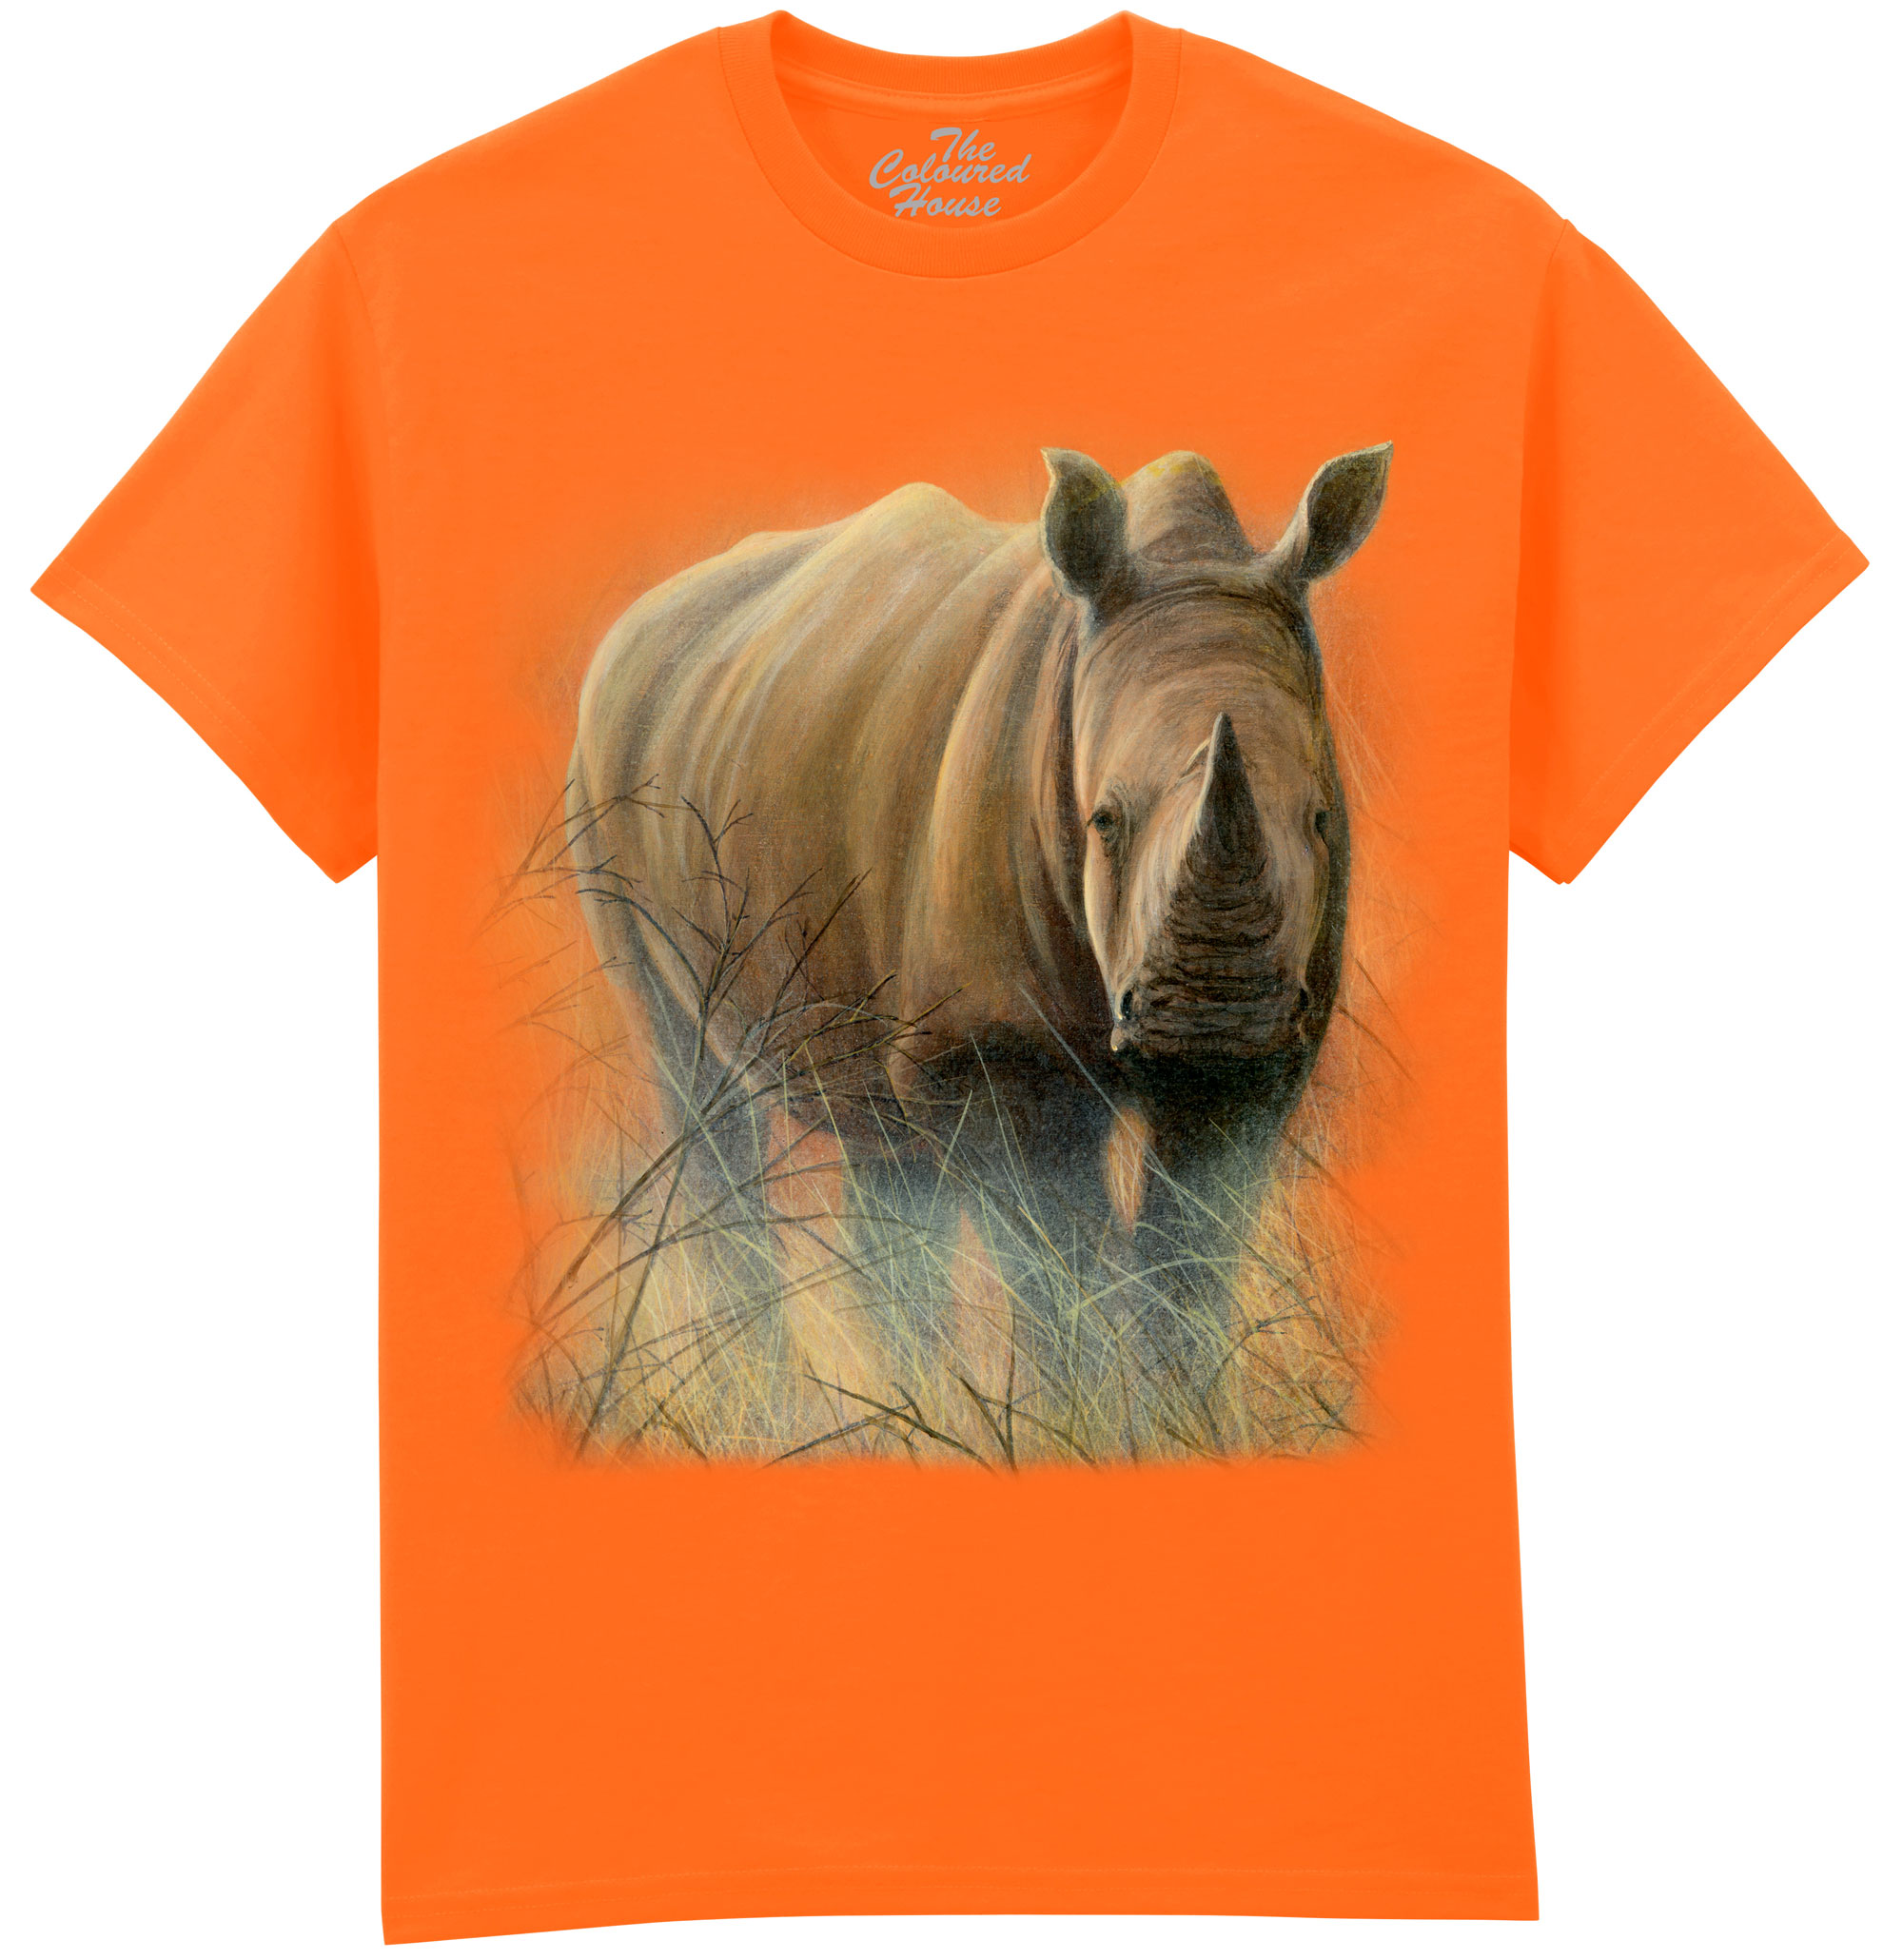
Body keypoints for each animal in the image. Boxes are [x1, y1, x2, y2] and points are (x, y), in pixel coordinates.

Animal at [568, 443, 1389, 1346]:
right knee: (686, 1071)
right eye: (1103, 821)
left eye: (1321, 819)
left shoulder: (1268, 1058)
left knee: (880, 1134)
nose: (1216, 1013)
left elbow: (1189, 1255)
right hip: (604, 772)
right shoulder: (988, 1046)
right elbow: (1052, 1258)